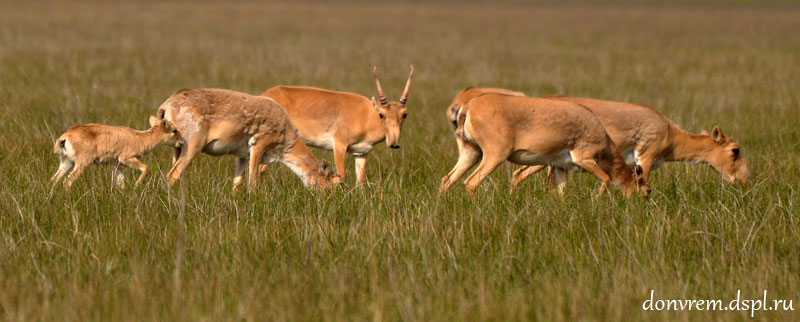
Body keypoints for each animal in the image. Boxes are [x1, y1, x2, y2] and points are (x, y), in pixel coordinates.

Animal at [50, 115, 180, 189]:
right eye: (174, 130)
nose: (181, 142)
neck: (139, 138)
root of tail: (66, 136)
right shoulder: (126, 159)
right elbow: (146, 168)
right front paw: (136, 186)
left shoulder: (119, 165)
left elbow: (120, 184)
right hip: (81, 164)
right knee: (67, 181)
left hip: (67, 163)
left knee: (54, 179)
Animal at [156, 88, 334, 190]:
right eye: (328, 185)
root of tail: (167, 104)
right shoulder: (258, 146)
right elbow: (252, 182)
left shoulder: (241, 156)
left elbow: (237, 183)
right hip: (192, 146)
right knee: (172, 175)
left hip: (177, 149)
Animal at [262, 65, 416, 185]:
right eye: (382, 114)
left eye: (404, 114)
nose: (394, 143)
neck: (366, 115)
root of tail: (265, 94)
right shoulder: (339, 145)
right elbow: (341, 175)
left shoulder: (362, 152)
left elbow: (360, 181)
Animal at [438, 93, 648, 197]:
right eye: (648, 190)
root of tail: (470, 106)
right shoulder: (585, 159)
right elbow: (605, 178)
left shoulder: (561, 169)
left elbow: (561, 194)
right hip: (493, 157)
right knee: (471, 182)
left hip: (472, 154)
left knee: (447, 180)